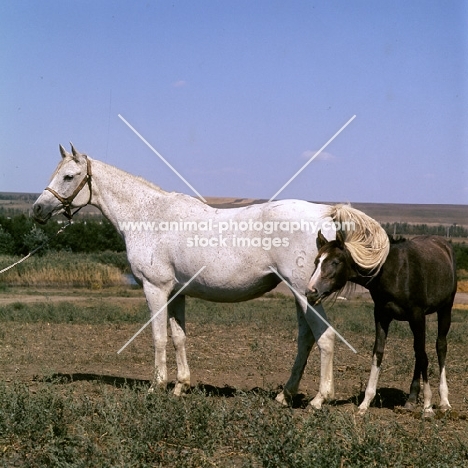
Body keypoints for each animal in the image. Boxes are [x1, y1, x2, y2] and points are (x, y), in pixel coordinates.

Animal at [33, 144, 340, 408]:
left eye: (69, 176)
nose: (37, 209)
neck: (148, 216)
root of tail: (324, 212)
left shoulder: (154, 288)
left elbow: (158, 337)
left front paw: (156, 386)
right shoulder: (176, 293)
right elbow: (178, 338)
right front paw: (181, 386)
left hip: (305, 294)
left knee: (324, 337)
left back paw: (319, 399)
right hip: (300, 296)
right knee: (305, 340)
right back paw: (285, 395)